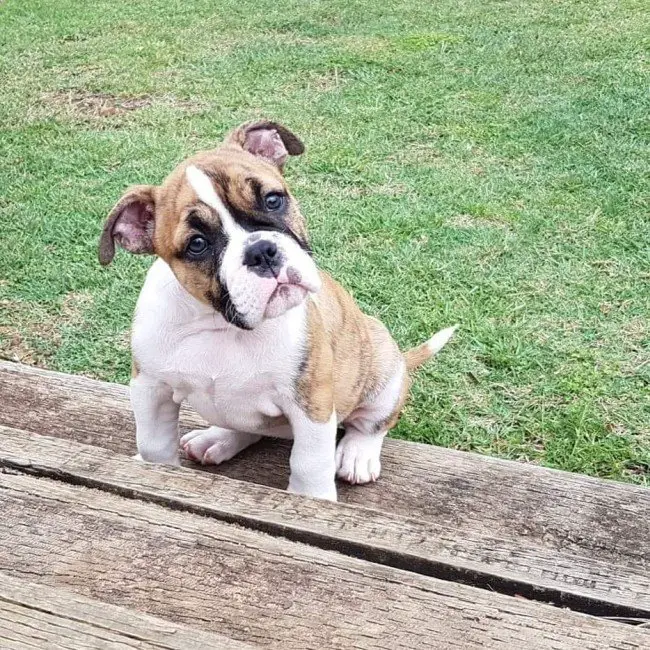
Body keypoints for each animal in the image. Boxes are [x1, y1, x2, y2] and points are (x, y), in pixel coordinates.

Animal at [100, 119, 456, 498]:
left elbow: (309, 463)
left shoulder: (310, 402)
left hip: (382, 369)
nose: (261, 252)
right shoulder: (151, 389)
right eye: (197, 244)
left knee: (372, 423)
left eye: (273, 200)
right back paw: (217, 439)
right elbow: (154, 445)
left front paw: (312, 498)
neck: (222, 324)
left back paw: (358, 454)